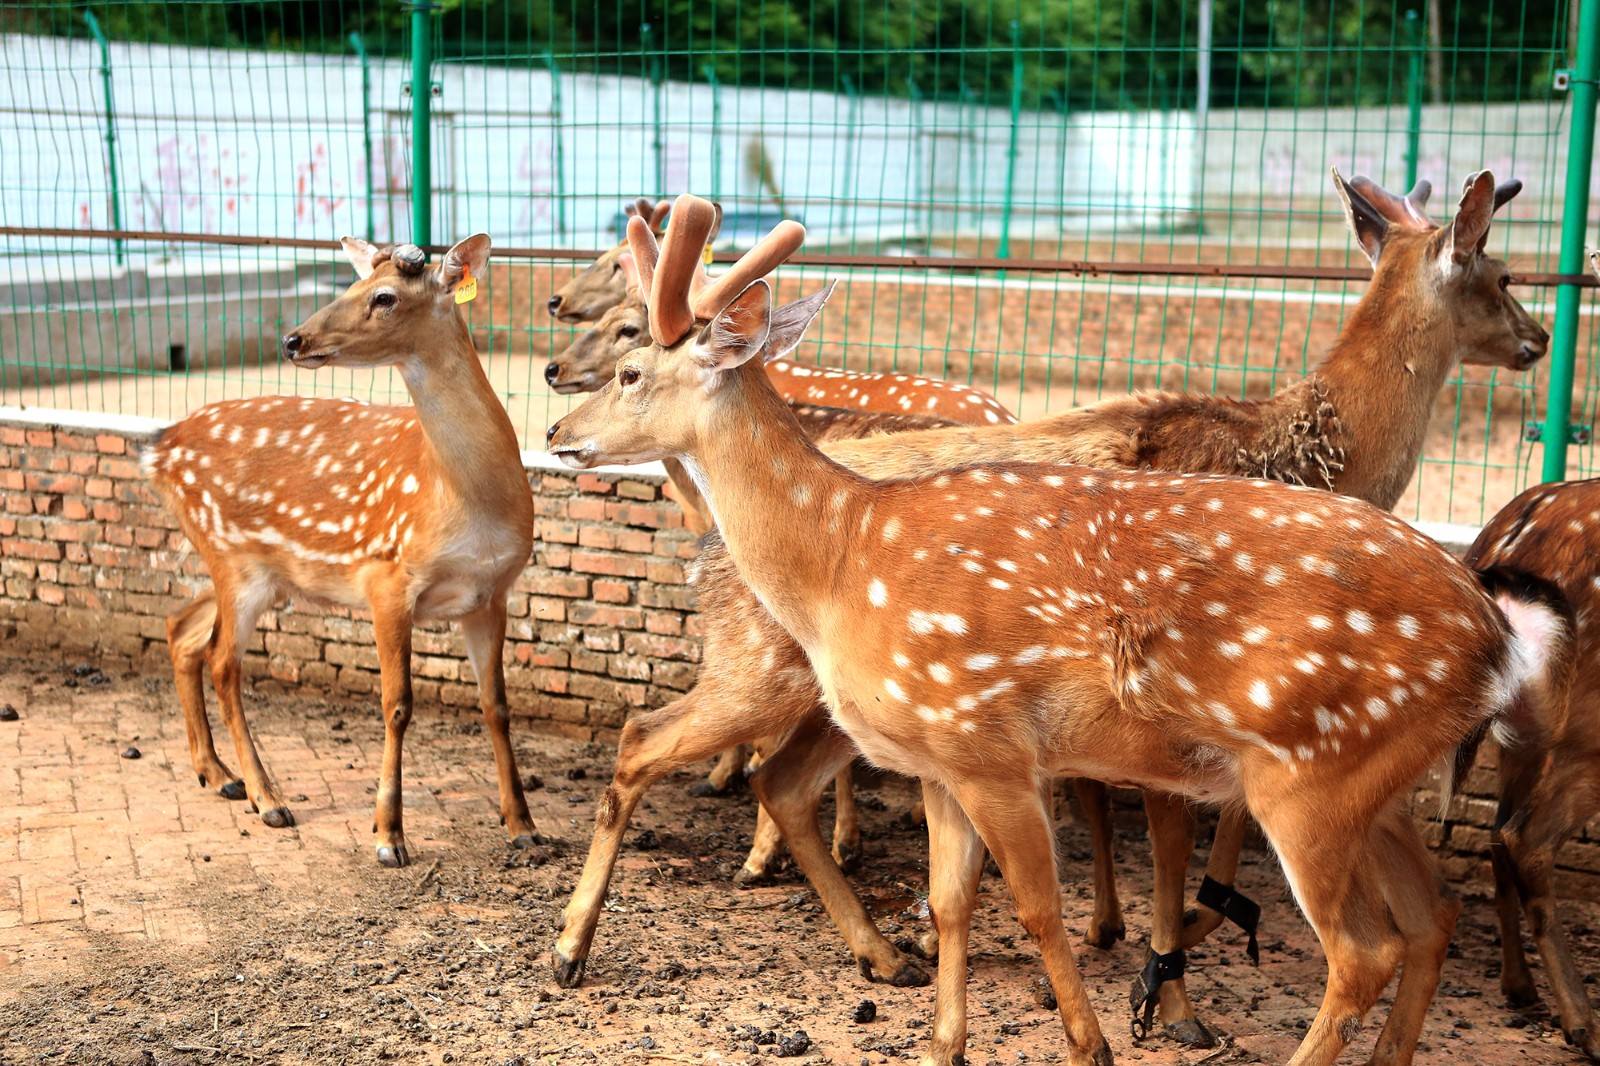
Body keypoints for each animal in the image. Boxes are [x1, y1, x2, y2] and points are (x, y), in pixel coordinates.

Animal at [142, 232, 537, 864]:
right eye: (352, 284)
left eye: (384, 296)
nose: (293, 339)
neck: (467, 500)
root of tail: (157, 448)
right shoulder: (387, 578)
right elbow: (397, 704)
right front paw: (388, 836)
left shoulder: (491, 594)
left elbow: (496, 706)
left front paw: (523, 827)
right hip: (234, 559)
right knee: (224, 661)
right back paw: (267, 798)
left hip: (253, 568)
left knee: (182, 629)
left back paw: (218, 774)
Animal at [550, 195, 1574, 1062]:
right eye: (1500, 277)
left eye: (633, 366)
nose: (559, 428)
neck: (844, 557)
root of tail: (1498, 628)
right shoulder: (939, 755)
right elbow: (952, 902)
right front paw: (947, 1041)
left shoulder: (990, 744)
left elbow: (1040, 908)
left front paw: (1101, 1037)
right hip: (1377, 782)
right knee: (1431, 918)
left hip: (1312, 777)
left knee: (1366, 951)